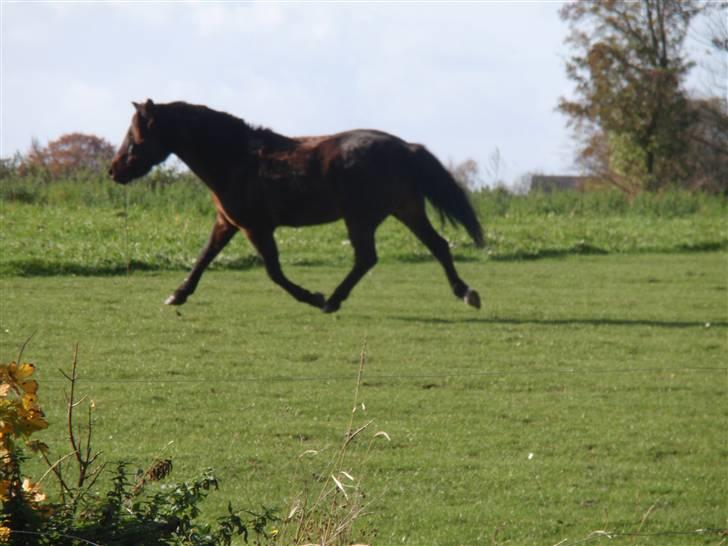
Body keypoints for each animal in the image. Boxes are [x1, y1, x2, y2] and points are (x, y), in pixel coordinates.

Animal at [109, 98, 484, 310]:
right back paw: (466, 293)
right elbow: (203, 259)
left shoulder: (256, 227)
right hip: (406, 209)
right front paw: (178, 295)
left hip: (362, 218)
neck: (237, 158)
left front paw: (312, 296)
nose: (113, 171)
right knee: (438, 245)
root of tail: (405, 147)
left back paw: (331, 301)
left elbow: (274, 272)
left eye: (134, 135)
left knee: (367, 258)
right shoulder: (227, 222)